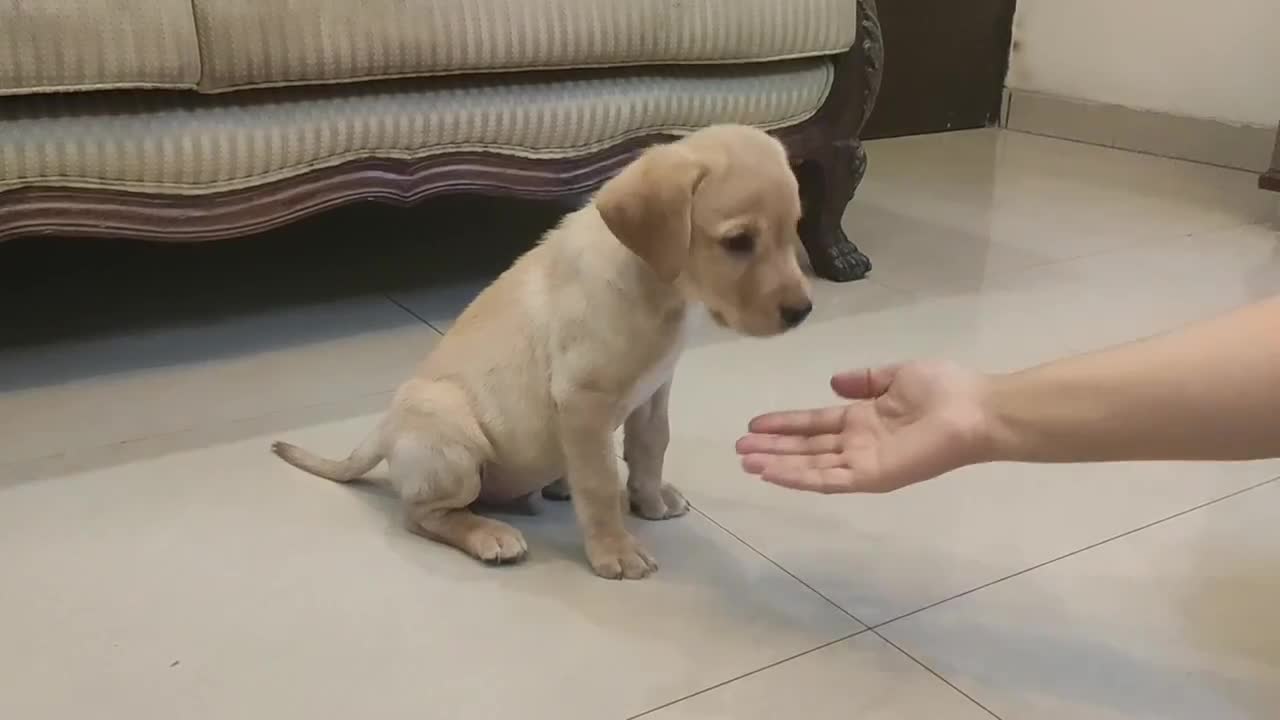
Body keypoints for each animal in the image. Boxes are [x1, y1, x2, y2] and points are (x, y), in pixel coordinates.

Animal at [272, 122, 808, 576]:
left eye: (794, 228)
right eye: (738, 241)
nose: (802, 311)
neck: (658, 287)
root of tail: (382, 433)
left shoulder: (655, 390)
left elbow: (651, 447)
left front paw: (650, 500)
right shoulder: (583, 399)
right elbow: (599, 481)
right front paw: (615, 550)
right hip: (452, 441)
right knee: (424, 513)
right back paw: (489, 534)